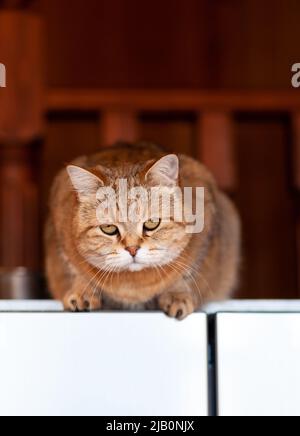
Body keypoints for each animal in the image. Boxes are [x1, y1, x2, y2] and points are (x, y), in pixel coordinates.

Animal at [45, 141, 240, 318]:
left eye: (152, 223)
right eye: (108, 228)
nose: (132, 249)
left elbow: (185, 275)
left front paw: (177, 295)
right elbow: (76, 272)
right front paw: (82, 291)